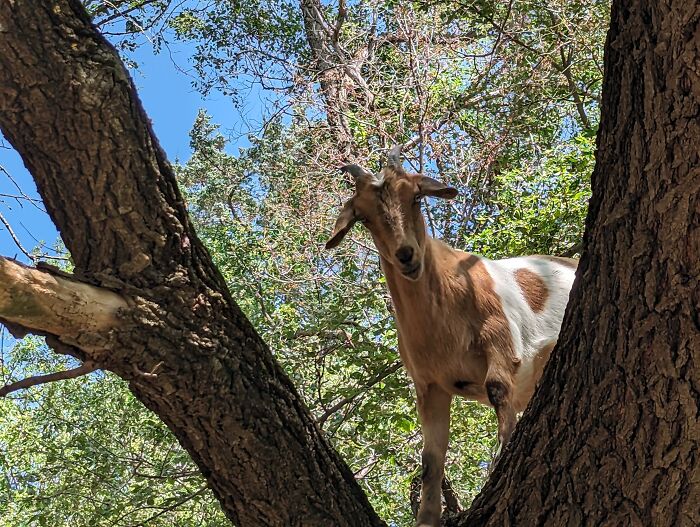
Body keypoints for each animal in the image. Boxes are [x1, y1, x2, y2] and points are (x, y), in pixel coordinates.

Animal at [325, 145, 577, 527]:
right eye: (363, 218)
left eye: (416, 197)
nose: (406, 255)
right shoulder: (430, 384)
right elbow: (431, 459)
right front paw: (426, 518)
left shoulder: (500, 343)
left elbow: (498, 393)